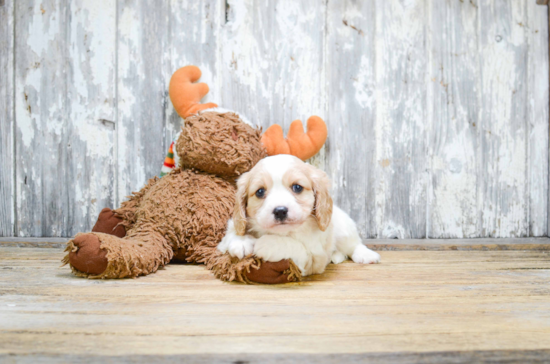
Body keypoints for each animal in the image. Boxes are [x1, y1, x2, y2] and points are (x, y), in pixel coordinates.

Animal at [218, 154, 382, 276]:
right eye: (260, 191)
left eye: (297, 187)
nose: (280, 210)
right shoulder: (225, 238)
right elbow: (231, 234)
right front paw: (241, 241)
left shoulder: (312, 259)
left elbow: (295, 246)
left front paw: (267, 243)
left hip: (344, 230)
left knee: (354, 245)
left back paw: (366, 255)